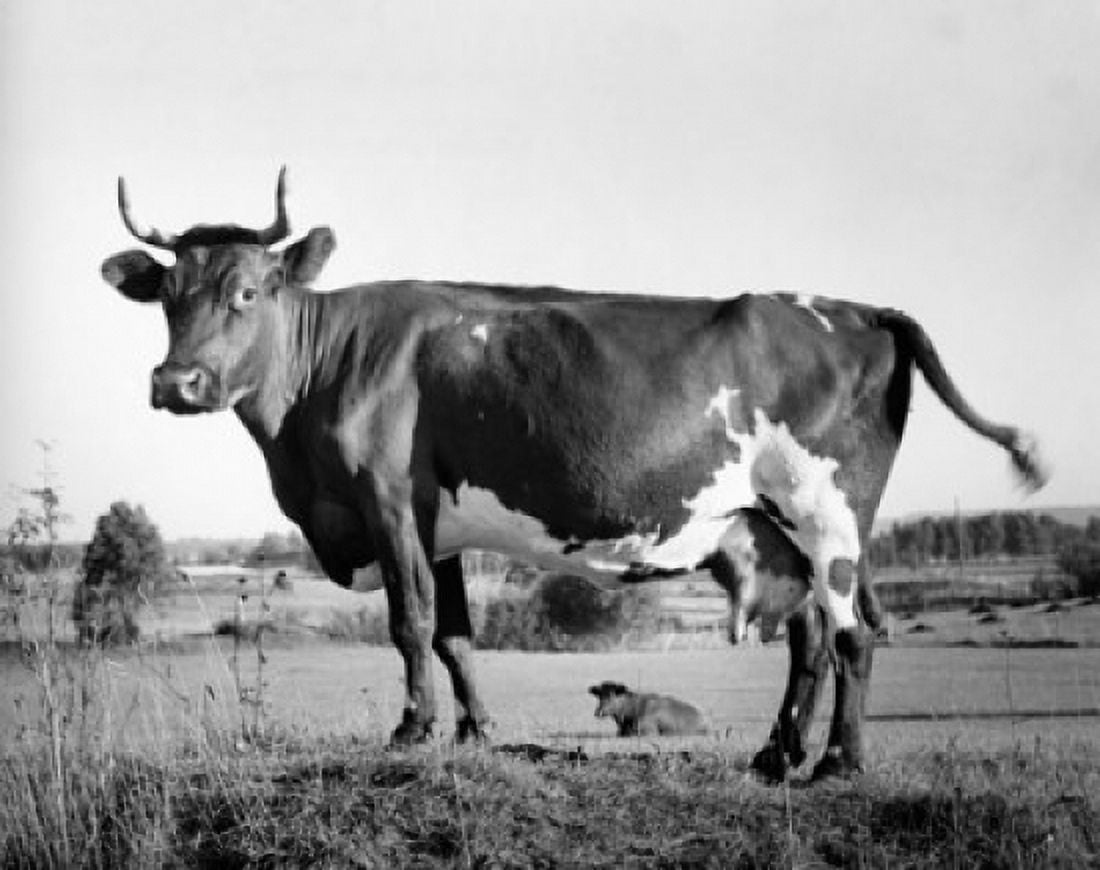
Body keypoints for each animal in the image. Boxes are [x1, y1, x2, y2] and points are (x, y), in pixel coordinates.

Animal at [100, 169, 1046, 780]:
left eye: (249, 291)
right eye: (168, 296)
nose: (177, 382)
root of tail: (858, 309)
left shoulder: (387, 500)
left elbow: (409, 623)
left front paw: (412, 730)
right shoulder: (440, 523)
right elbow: (454, 634)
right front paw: (475, 734)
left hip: (825, 512)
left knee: (852, 633)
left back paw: (839, 766)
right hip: (779, 525)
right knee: (813, 634)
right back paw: (775, 757)